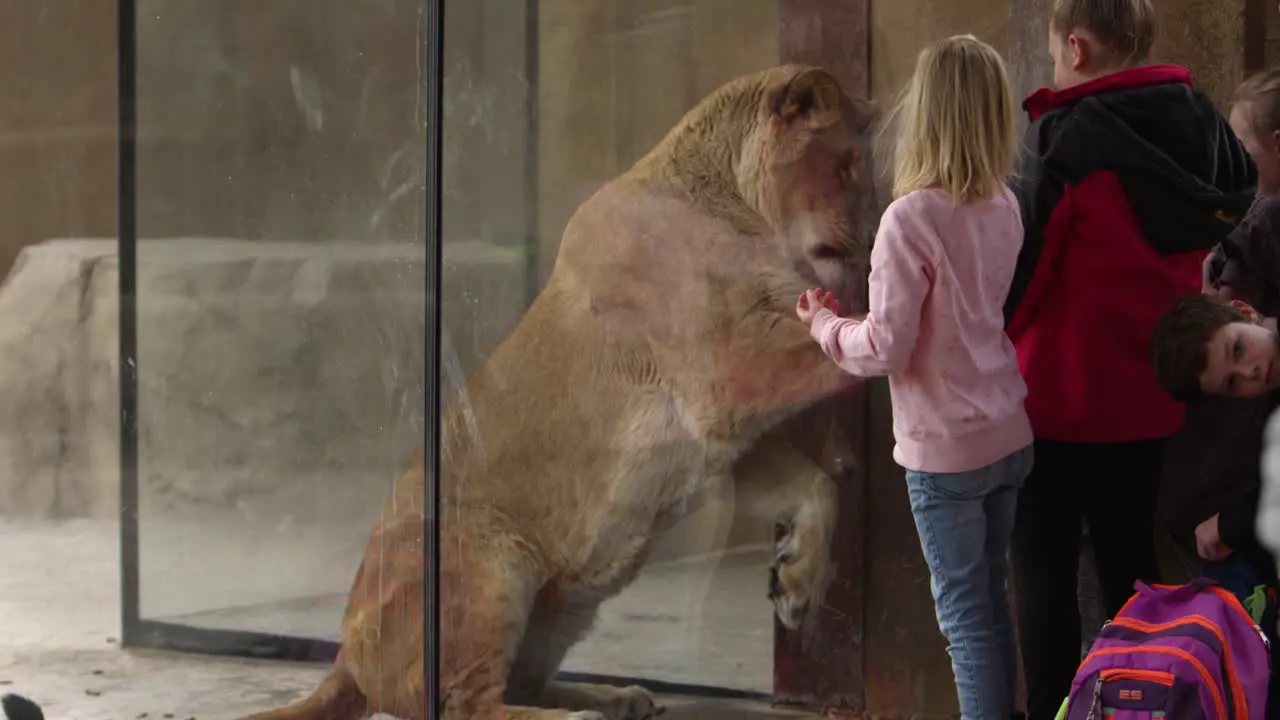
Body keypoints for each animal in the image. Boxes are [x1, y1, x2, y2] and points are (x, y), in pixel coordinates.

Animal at [238, 63, 880, 717]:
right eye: (847, 164)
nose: (867, 235)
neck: (745, 211)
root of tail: (346, 659)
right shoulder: (729, 367)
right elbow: (840, 346)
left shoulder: (722, 442)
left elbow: (816, 486)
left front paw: (797, 585)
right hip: (487, 558)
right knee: (464, 702)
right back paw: (580, 712)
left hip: (564, 608)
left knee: (520, 681)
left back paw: (615, 696)